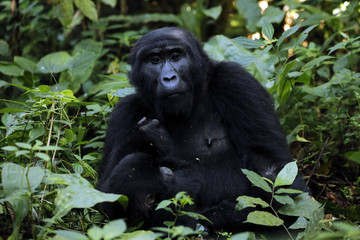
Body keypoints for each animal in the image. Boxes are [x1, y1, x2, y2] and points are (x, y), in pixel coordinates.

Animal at [97, 27, 306, 232]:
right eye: (154, 60)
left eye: (175, 56)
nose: (169, 78)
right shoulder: (125, 112)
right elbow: (107, 201)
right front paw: (145, 138)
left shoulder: (237, 82)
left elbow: (274, 178)